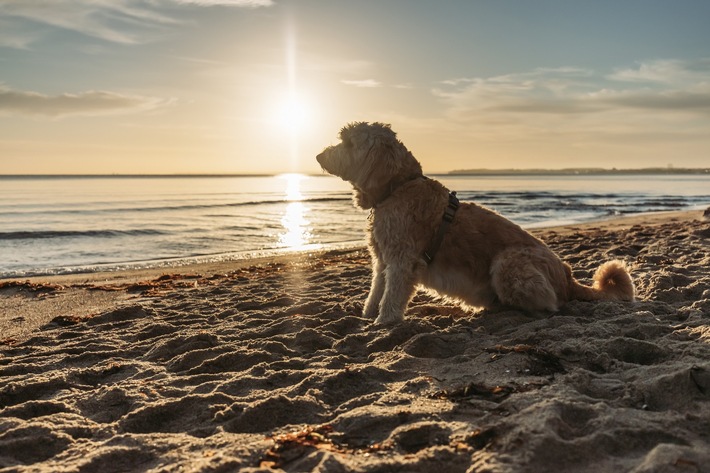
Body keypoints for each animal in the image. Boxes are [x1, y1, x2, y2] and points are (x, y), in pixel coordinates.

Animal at [314, 121, 636, 324]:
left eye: (348, 142)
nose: (317, 155)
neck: (398, 186)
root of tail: (568, 278)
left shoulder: (402, 262)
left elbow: (391, 296)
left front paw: (384, 322)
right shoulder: (382, 260)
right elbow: (375, 291)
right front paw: (369, 315)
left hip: (509, 263)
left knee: (548, 305)